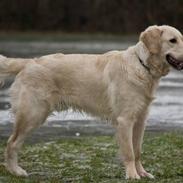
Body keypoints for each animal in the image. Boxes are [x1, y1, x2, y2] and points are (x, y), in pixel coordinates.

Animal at [0, 25, 182, 179]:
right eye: (172, 40)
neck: (142, 65)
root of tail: (30, 61)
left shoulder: (140, 120)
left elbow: (137, 151)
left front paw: (142, 173)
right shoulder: (125, 120)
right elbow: (129, 152)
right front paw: (132, 175)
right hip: (33, 114)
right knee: (11, 143)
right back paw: (16, 171)